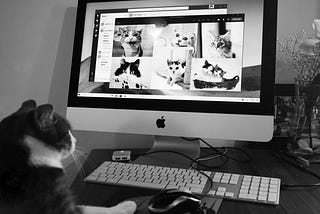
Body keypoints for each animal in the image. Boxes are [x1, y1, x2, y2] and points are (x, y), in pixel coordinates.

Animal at [0, 100, 136, 214]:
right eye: (67, 133)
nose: (75, 140)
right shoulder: (59, 206)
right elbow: (94, 209)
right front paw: (126, 206)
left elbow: (85, 206)